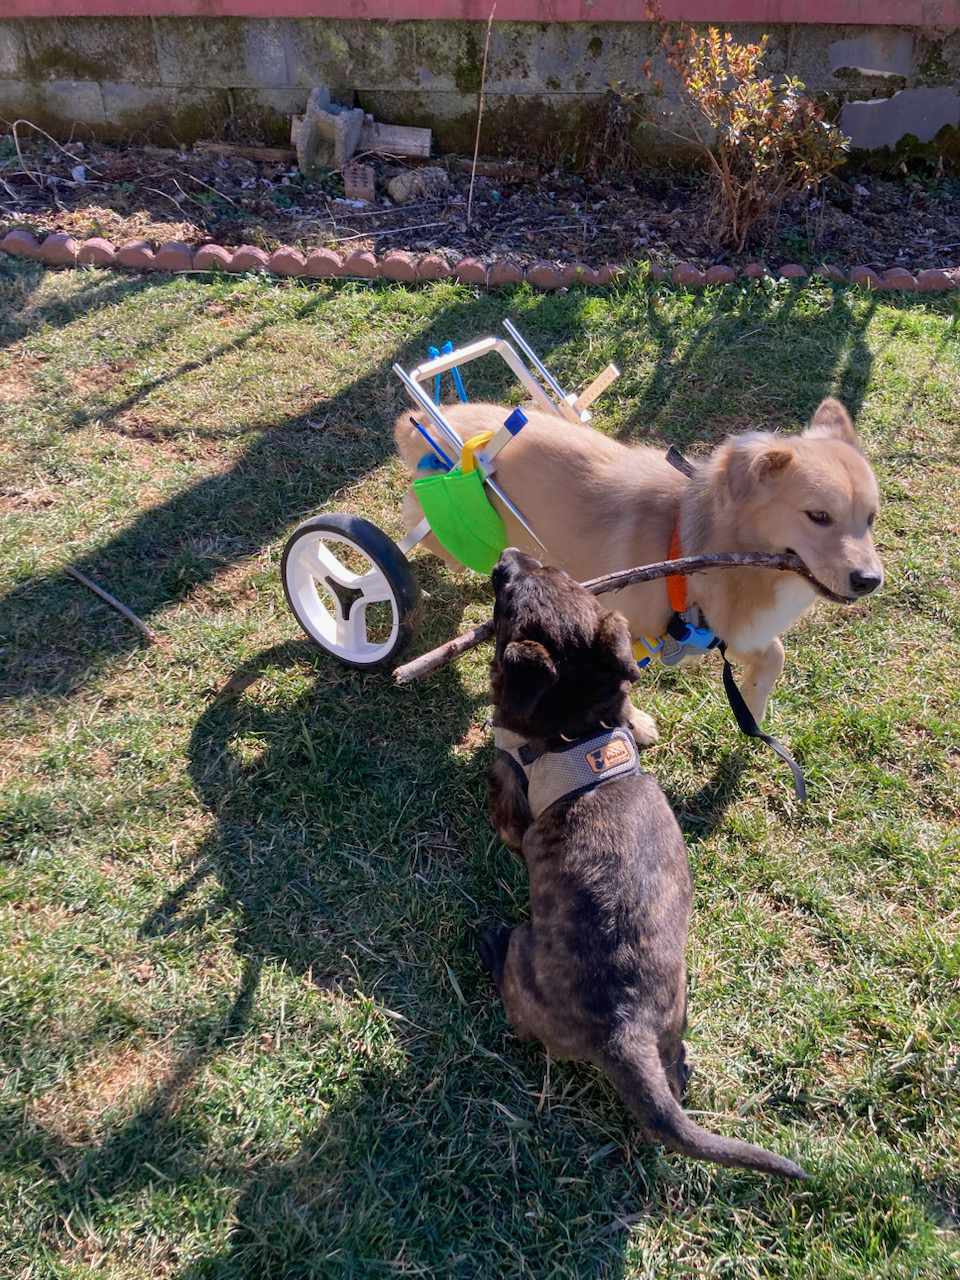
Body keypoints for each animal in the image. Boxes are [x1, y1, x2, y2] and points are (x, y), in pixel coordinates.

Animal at [394, 399, 885, 742]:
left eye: (870, 518)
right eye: (818, 516)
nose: (870, 581)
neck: (690, 541)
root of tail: (424, 419)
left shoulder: (725, 632)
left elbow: (774, 657)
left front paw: (753, 706)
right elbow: (618, 687)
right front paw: (637, 725)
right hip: (455, 526)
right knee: (415, 527)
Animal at [483, 550, 808, 1177]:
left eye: (508, 598)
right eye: (559, 574)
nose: (507, 558)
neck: (576, 730)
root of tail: (623, 1028)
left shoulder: (511, 787)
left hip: (524, 958)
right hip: (675, 1010)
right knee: (673, 1071)